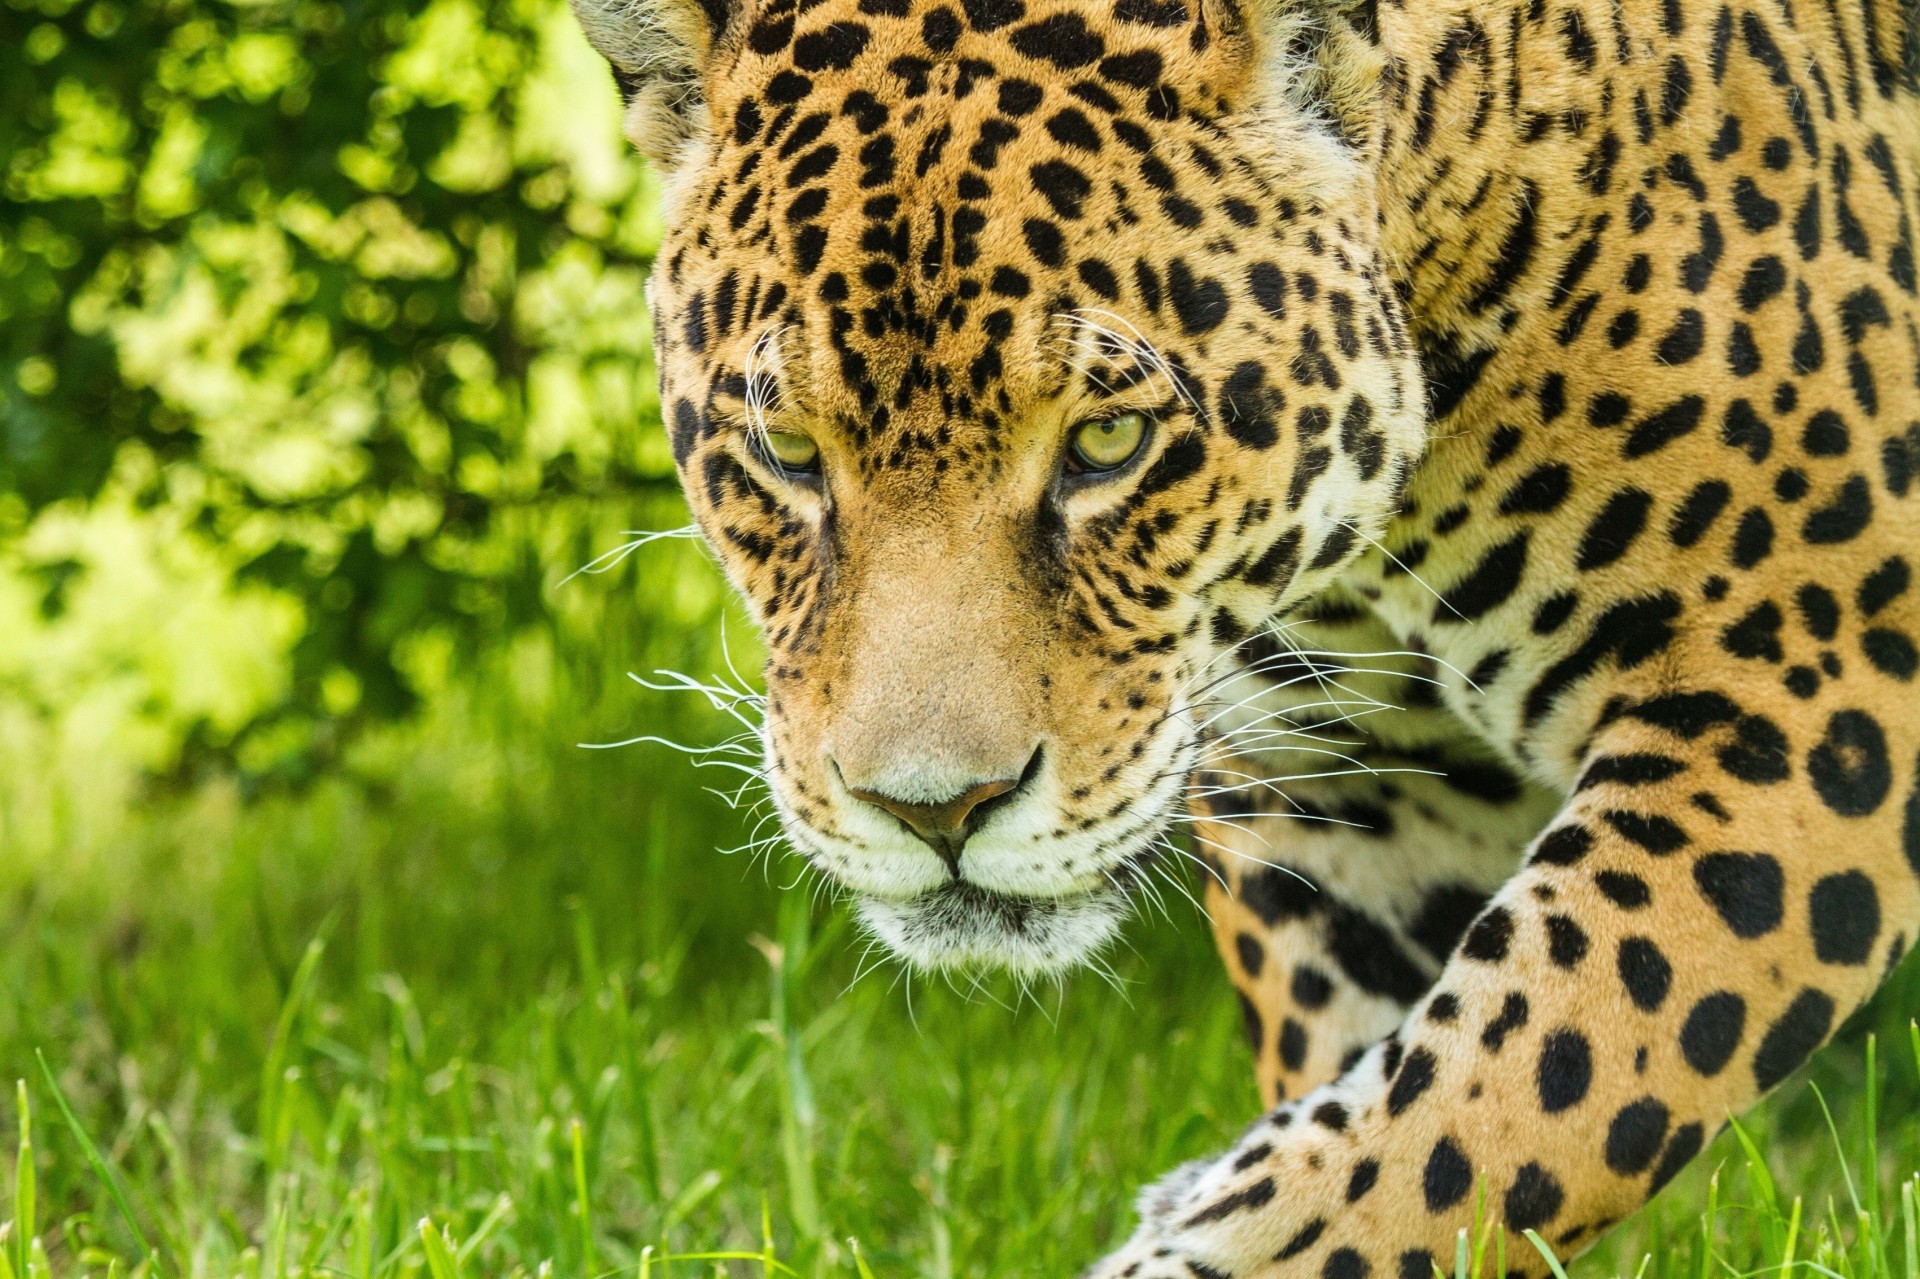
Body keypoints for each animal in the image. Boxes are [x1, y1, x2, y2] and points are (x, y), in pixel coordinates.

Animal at [566, 0, 1920, 1269]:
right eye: (787, 452)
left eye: (1108, 441)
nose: (934, 812)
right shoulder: (1355, 806)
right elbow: (1409, 1109)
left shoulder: (1801, 698)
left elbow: (1482, 1114)